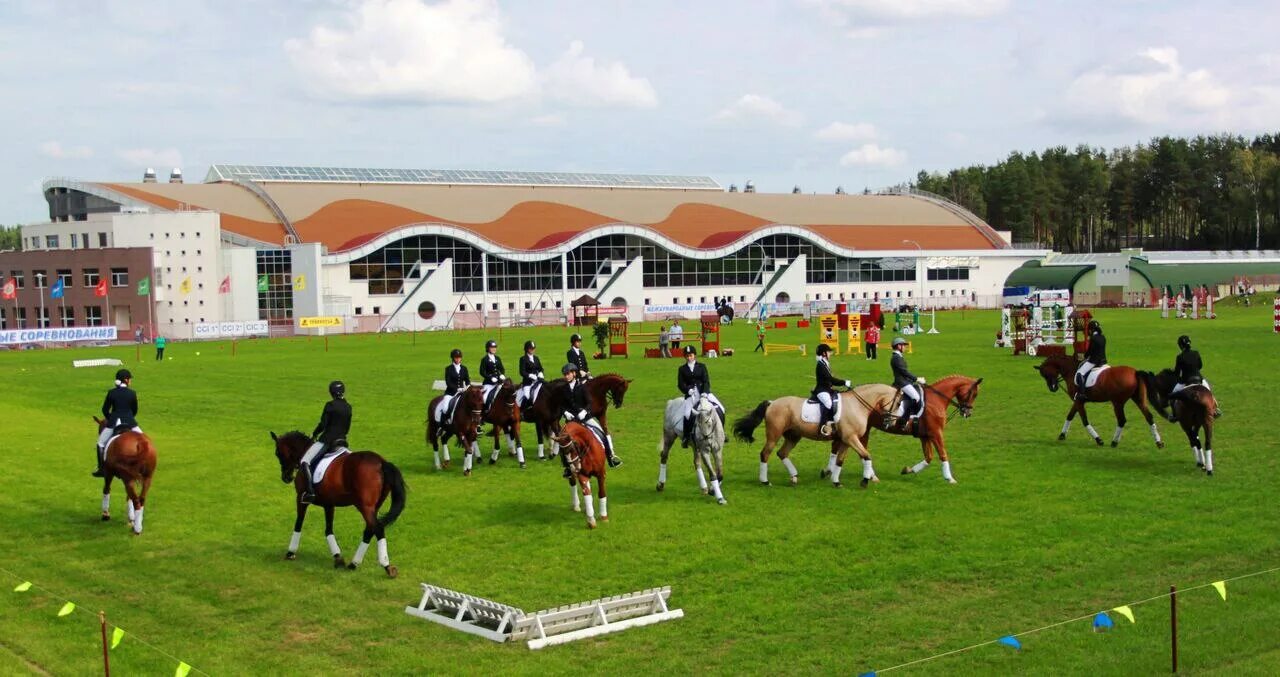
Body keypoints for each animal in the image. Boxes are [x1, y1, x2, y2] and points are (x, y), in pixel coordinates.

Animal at [268, 427, 404, 575]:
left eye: (278, 453)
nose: (286, 477)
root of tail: (381, 462)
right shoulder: (329, 504)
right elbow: (328, 529)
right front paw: (338, 558)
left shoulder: (301, 498)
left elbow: (298, 523)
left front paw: (290, 553)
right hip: (374, 506)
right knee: (369, 529)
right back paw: (353, 564)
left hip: (365, 506)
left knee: (377, 528)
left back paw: (387, 566)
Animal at [732, 386, 890, 491]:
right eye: (895, 403)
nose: (888, 422)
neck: (856, 406)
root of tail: (772, 402)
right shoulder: (851, 438)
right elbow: (866, 455)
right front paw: (865, 480)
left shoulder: (847, 440)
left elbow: (840, 460)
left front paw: (836, 481)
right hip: (774, 435)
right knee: (765, 454)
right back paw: (765, 481)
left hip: (793, 436)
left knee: (782, 453)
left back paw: (794, 477)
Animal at [849, 371, 988, 483]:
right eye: (974, 394)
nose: (967, 413)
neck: (936, 399)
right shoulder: (936, 433)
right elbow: (943, 454)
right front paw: (950, 478)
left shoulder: (925, 436)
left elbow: (929, 457)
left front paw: (908, 470)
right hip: (864, 430)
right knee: (862, 452)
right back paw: (872, 476)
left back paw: (872, 476)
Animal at [1034, 353, 1167, 447]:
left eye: (1044, 373)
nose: (1053, 388)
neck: (1071, 370)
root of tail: (1134, 372)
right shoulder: (1077, 401)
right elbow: (1070, 416)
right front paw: (1062, 435)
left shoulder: (1079, 401)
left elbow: (1084, 421)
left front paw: (1099, 440)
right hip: (1138, 399)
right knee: (1149, 417)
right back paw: (1159, 443)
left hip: (1117, 403)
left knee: (1122, 420)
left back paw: (1114, 442)